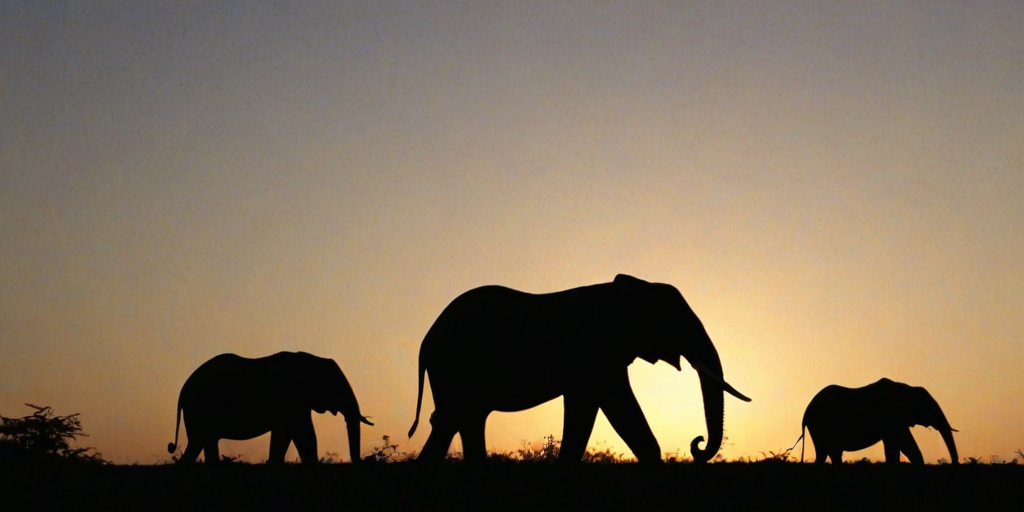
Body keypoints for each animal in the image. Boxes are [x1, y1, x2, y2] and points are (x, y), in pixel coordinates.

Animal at [167, 351, 373, 464]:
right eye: (336, 387)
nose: (365, 460)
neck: (312, 359)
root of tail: (182, 393)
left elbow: (284, 435)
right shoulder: (292, 398)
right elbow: (304, 434)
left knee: (204, 443)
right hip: (200, 408)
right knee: (199, 442)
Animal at [407, 274, 751, 464]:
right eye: (673, 320)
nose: (698, 444)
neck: (626, 289)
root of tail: (425, 341)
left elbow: (584, 411)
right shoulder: (596, 355)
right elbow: (617, 406)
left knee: (457, 421)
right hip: (456, 366)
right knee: (456, 419)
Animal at [792, 378, 959, 465]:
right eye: (928, 407)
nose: (953, 463)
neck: (906, 387)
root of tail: (805, 414)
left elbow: (893, 447)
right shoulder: (892, 417)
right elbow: (905, 443)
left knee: (831, 453)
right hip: (820, 425)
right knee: (825, 452)